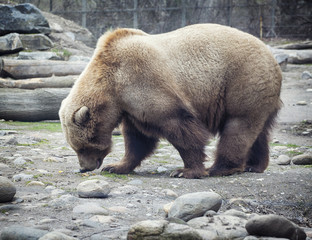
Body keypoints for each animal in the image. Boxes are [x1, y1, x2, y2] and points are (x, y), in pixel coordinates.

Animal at [58, 23, 282, 178]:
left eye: (83, 146)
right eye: (75, 147)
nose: (84, 167)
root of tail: (271, 56)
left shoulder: (143, 80)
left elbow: (179, 127)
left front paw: (186, 170)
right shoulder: (130, 107)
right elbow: (137, 138)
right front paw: (116, 166)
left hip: (243, 80)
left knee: (238, 127)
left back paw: (220, 167)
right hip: (259, 92)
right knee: (258, 131)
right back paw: (254, 165)